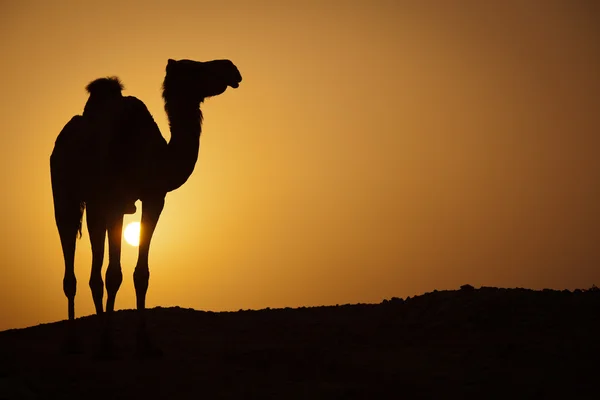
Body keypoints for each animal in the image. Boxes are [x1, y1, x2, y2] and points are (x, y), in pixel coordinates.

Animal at [49, 58, 241, 354]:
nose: (231, 68)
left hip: (95, 204)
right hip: (64, 195)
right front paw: (108, 343)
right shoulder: (118, 200)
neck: (154, 157)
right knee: (72, 264)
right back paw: (73, 342)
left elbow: (140, 274)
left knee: (94, 272)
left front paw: (144, 342)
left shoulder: (153, 198)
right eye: (195, 68)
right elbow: (114, 274)